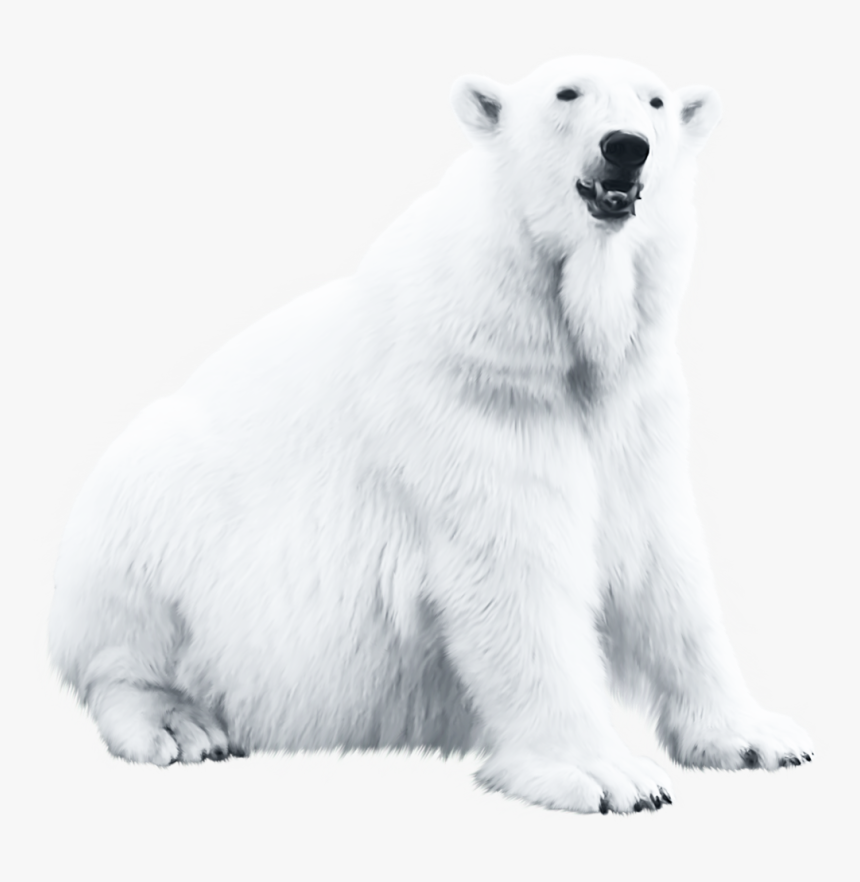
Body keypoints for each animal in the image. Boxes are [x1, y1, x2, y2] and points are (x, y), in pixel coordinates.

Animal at [48, 55, 814, 814]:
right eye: (566, 92)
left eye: (654, 101)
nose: (627, 146)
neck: (554, 334)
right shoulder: (470, 395)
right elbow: (512, 572)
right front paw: (607, 775)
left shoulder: (637, 411)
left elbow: (665, 566)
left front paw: (759, 736)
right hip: (157, 501)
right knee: (126, 610)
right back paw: (178, 723)